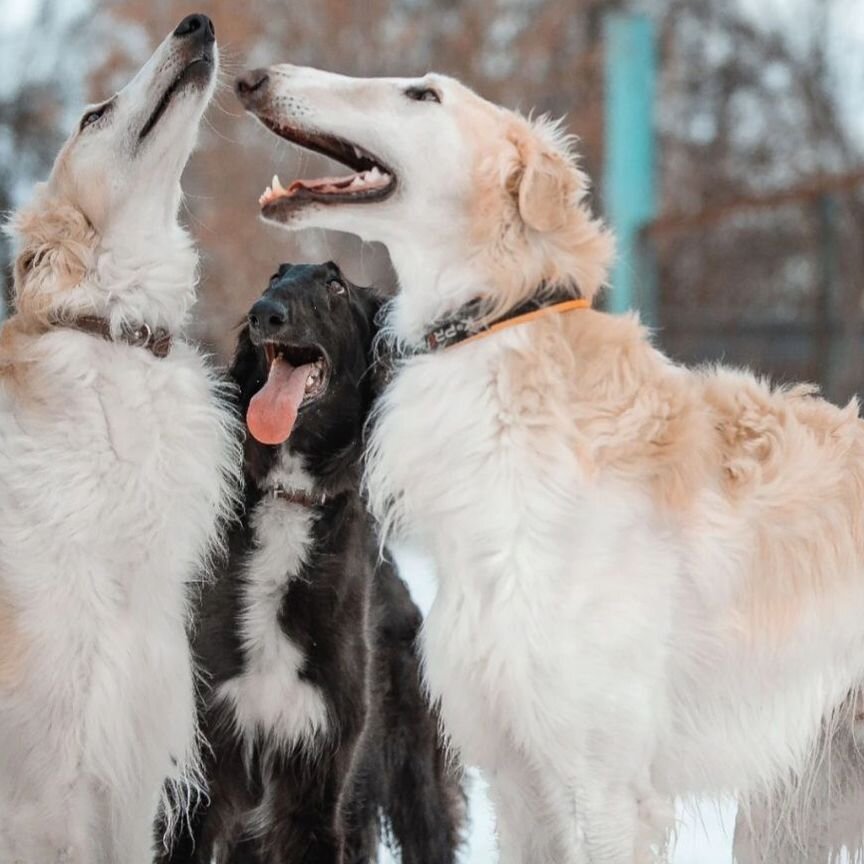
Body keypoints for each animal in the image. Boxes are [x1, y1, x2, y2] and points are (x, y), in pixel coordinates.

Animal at [160, 264, 460, 864]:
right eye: (275, 276)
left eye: (335, 286)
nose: (264, 313)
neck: (290, 497)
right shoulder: (202, 778)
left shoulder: (318, 782)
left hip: (414, 783)